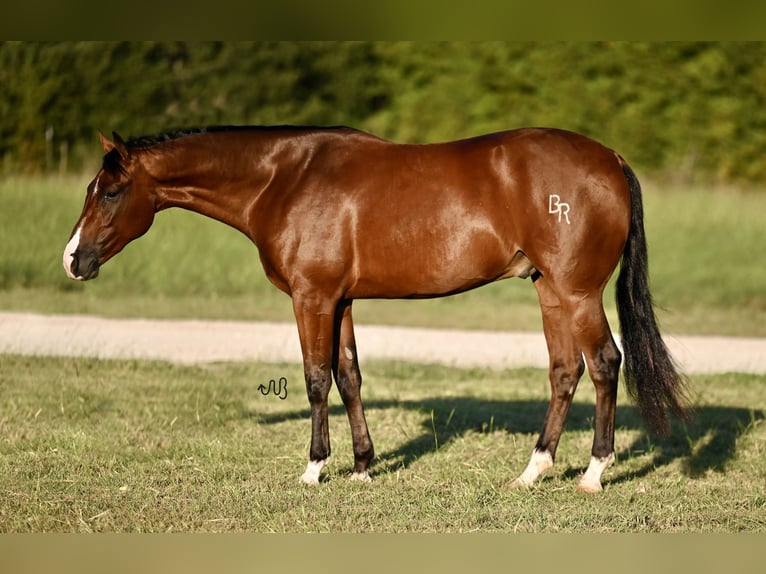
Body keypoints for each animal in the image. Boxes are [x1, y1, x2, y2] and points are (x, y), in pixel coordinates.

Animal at [61, 127, 688, 496]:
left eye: (110, 192)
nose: (73, 260)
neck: (284, 179)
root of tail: (610, 158)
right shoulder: (340, 300)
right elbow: (349, 376)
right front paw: (363, 466)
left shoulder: (312, 298)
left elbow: (316, 378)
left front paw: (314, 469)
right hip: (549, 291)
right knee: (565, 371)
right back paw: (532, 471)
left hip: (578, 293)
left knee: (604, 363)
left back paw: (594, 474)